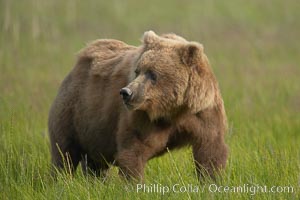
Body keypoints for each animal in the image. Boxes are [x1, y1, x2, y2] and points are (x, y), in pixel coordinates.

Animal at [48, 30, 229, 180]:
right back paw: (61, 180)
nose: (126, 92)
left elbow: (210, 150)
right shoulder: (141, 118)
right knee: (64, 152)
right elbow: (134, 150)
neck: (173, 110)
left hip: (94, 129)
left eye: (153, 74)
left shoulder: (203, 113)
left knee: (95, 162)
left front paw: (211, 181)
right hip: (73, 111)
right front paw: (134, 185)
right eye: (138, 70)